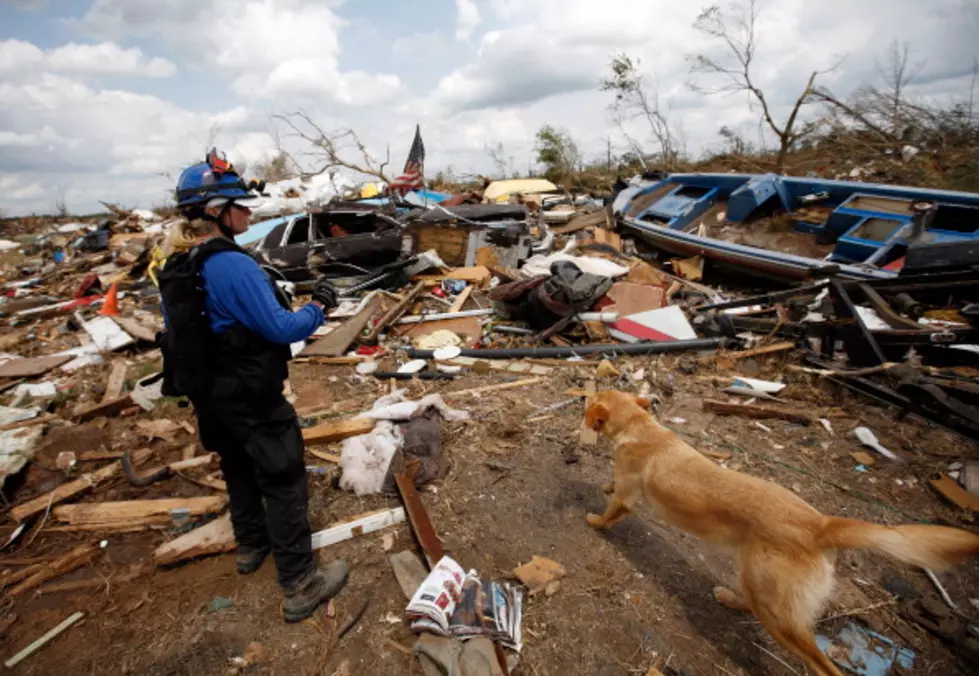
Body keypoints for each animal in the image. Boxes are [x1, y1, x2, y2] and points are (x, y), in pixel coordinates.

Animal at [580, 390, 979, 676]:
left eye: (593, 396)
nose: (582, 397)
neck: (640, 425)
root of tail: (820, 526)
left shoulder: (628, 496)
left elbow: (614, 509)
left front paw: (596, 522)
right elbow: (612, 488)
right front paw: (604, 488)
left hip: (778, 609)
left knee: (822, 665)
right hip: (758, 582)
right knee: (752, 602)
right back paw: (730, 599)